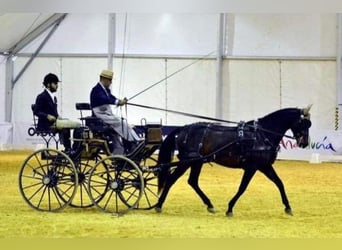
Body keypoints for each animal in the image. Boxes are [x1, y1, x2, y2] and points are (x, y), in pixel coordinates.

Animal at [156, 105, 312, 217]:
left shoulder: (265, 166)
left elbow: (279, 183)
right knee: (171, 180)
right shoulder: (252, 167)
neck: (262, 134)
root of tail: (184, 128)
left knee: (192, 181)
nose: (304, 143)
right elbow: (242, 187)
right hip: (187, 161)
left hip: (197, 162)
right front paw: (230, 208)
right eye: (303, 123)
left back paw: (210, 205)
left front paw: (288, 207)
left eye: (309, 124)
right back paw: (158, 205)